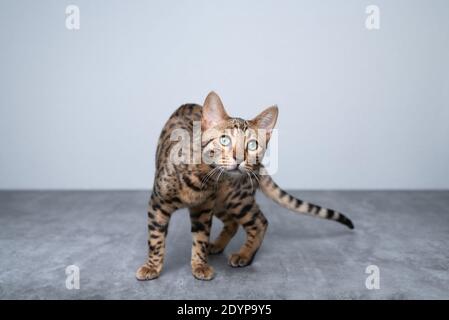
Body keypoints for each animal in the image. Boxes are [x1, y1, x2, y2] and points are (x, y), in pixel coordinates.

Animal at [135, 91, 352, 282]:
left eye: (253, 145)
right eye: (224, 139)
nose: (239, 158)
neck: (200, 178)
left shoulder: (203, 210)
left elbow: (200, 239)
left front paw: (200, 265)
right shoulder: (158, 204)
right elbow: (156, 239)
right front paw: (152, 267)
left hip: (235, 198)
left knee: (260, 222)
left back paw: (244, 256)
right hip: (222, 201)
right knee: (233, 223)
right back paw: (218, 246)